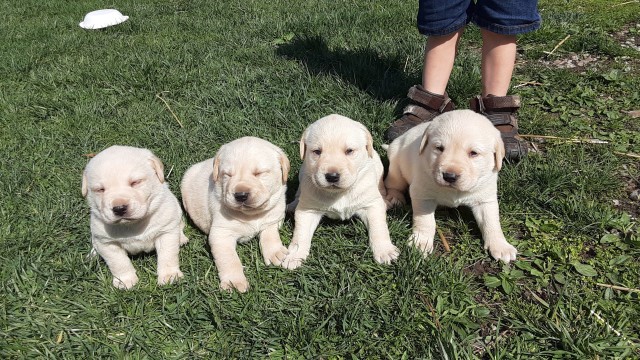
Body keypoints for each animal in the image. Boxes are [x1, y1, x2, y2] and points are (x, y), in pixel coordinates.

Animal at [82, 145, 188, 288]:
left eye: (135, 182)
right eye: (100, 189)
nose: (119, 208)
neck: (132, 224)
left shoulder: (166, 232)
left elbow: (168, 255)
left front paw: (170, 276)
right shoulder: (107, 243)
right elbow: (119, 263)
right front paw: (125, 281)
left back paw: (181, 238)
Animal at [180, 136, 290, 292]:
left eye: (259, 173)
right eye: (227, 175)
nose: (241, 195)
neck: (251, 214)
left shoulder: (274, 218)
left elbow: (270, 234)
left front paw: (275, 252)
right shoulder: (221, 234)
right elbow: (229, 259)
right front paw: (234, 281)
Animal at [284, 114, 400, 268]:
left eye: (349, 151)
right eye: (317, 151)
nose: (332, 176)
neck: (339, 193)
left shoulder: (371, 206)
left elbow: (378, 228)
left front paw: (385, 250)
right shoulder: (307, 210)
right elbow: (300, 234)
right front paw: (294, 255)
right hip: (303, 173)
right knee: (298, 193)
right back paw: (292, 205)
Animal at [384, 108, 516, 262]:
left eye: (473, 153)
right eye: (439, 148)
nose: (449, 176)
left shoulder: (485, 198)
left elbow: (491, 221)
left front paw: (501, 245)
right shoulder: (422, 194)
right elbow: (425, 221)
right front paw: (421, 242)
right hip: (396, 166)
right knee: (394, 184)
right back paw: (394, 197)